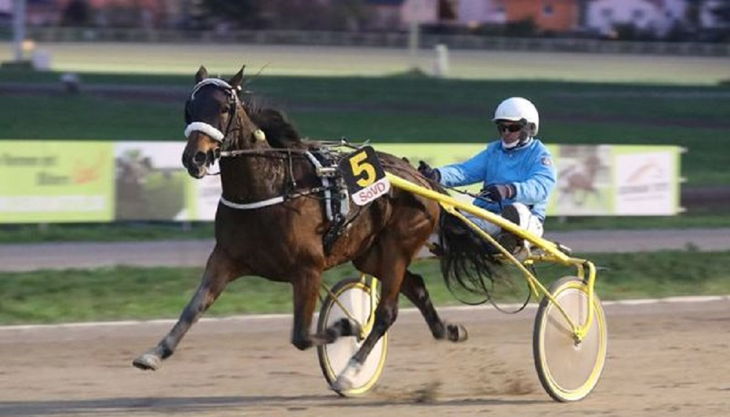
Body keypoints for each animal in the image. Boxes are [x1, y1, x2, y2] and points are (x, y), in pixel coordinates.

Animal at [132, 66, 493, 390]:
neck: (269, 187)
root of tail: (420, 179)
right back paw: (448, 330)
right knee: (415, 285)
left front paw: (346, 326)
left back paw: (351, 370)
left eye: (223, 108)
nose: (195, 158)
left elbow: (302, 336)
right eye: (189, 107)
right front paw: (155, 352)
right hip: (369, 253)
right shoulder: (226, 258)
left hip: (397, 246)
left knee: (386, 312)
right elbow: (194, 307)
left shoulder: (308, 268)